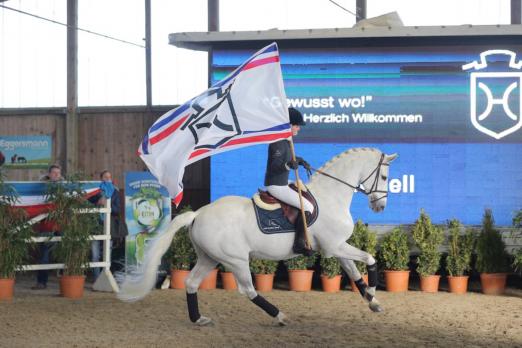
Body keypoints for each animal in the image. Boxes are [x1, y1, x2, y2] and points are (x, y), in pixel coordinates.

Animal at [118, 147, 394, 326]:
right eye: (383, 176)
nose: (380, 206)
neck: (330, 196)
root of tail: (198, 213)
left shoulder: (336, 246)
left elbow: (354, 272)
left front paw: (373, 301)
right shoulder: (333, 247)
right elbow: (369, 259)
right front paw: (372, 290)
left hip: (209, 257)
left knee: (191, 283)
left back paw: (198, 319)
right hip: (236, 260)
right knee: (248, 290)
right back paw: (280, 316)